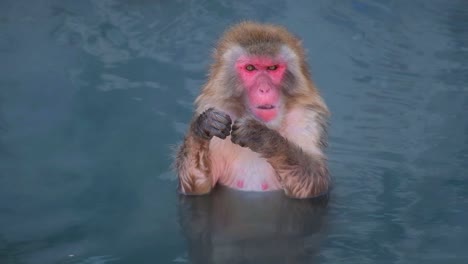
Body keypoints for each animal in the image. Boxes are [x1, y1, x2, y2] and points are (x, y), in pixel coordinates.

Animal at [174, 21, 330, 198]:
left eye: (272, 68)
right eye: (250, 68)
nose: (264, 89)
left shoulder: (306, 119)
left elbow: (315, 181)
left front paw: (261, 136)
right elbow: (196, 185)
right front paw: (204, 125)